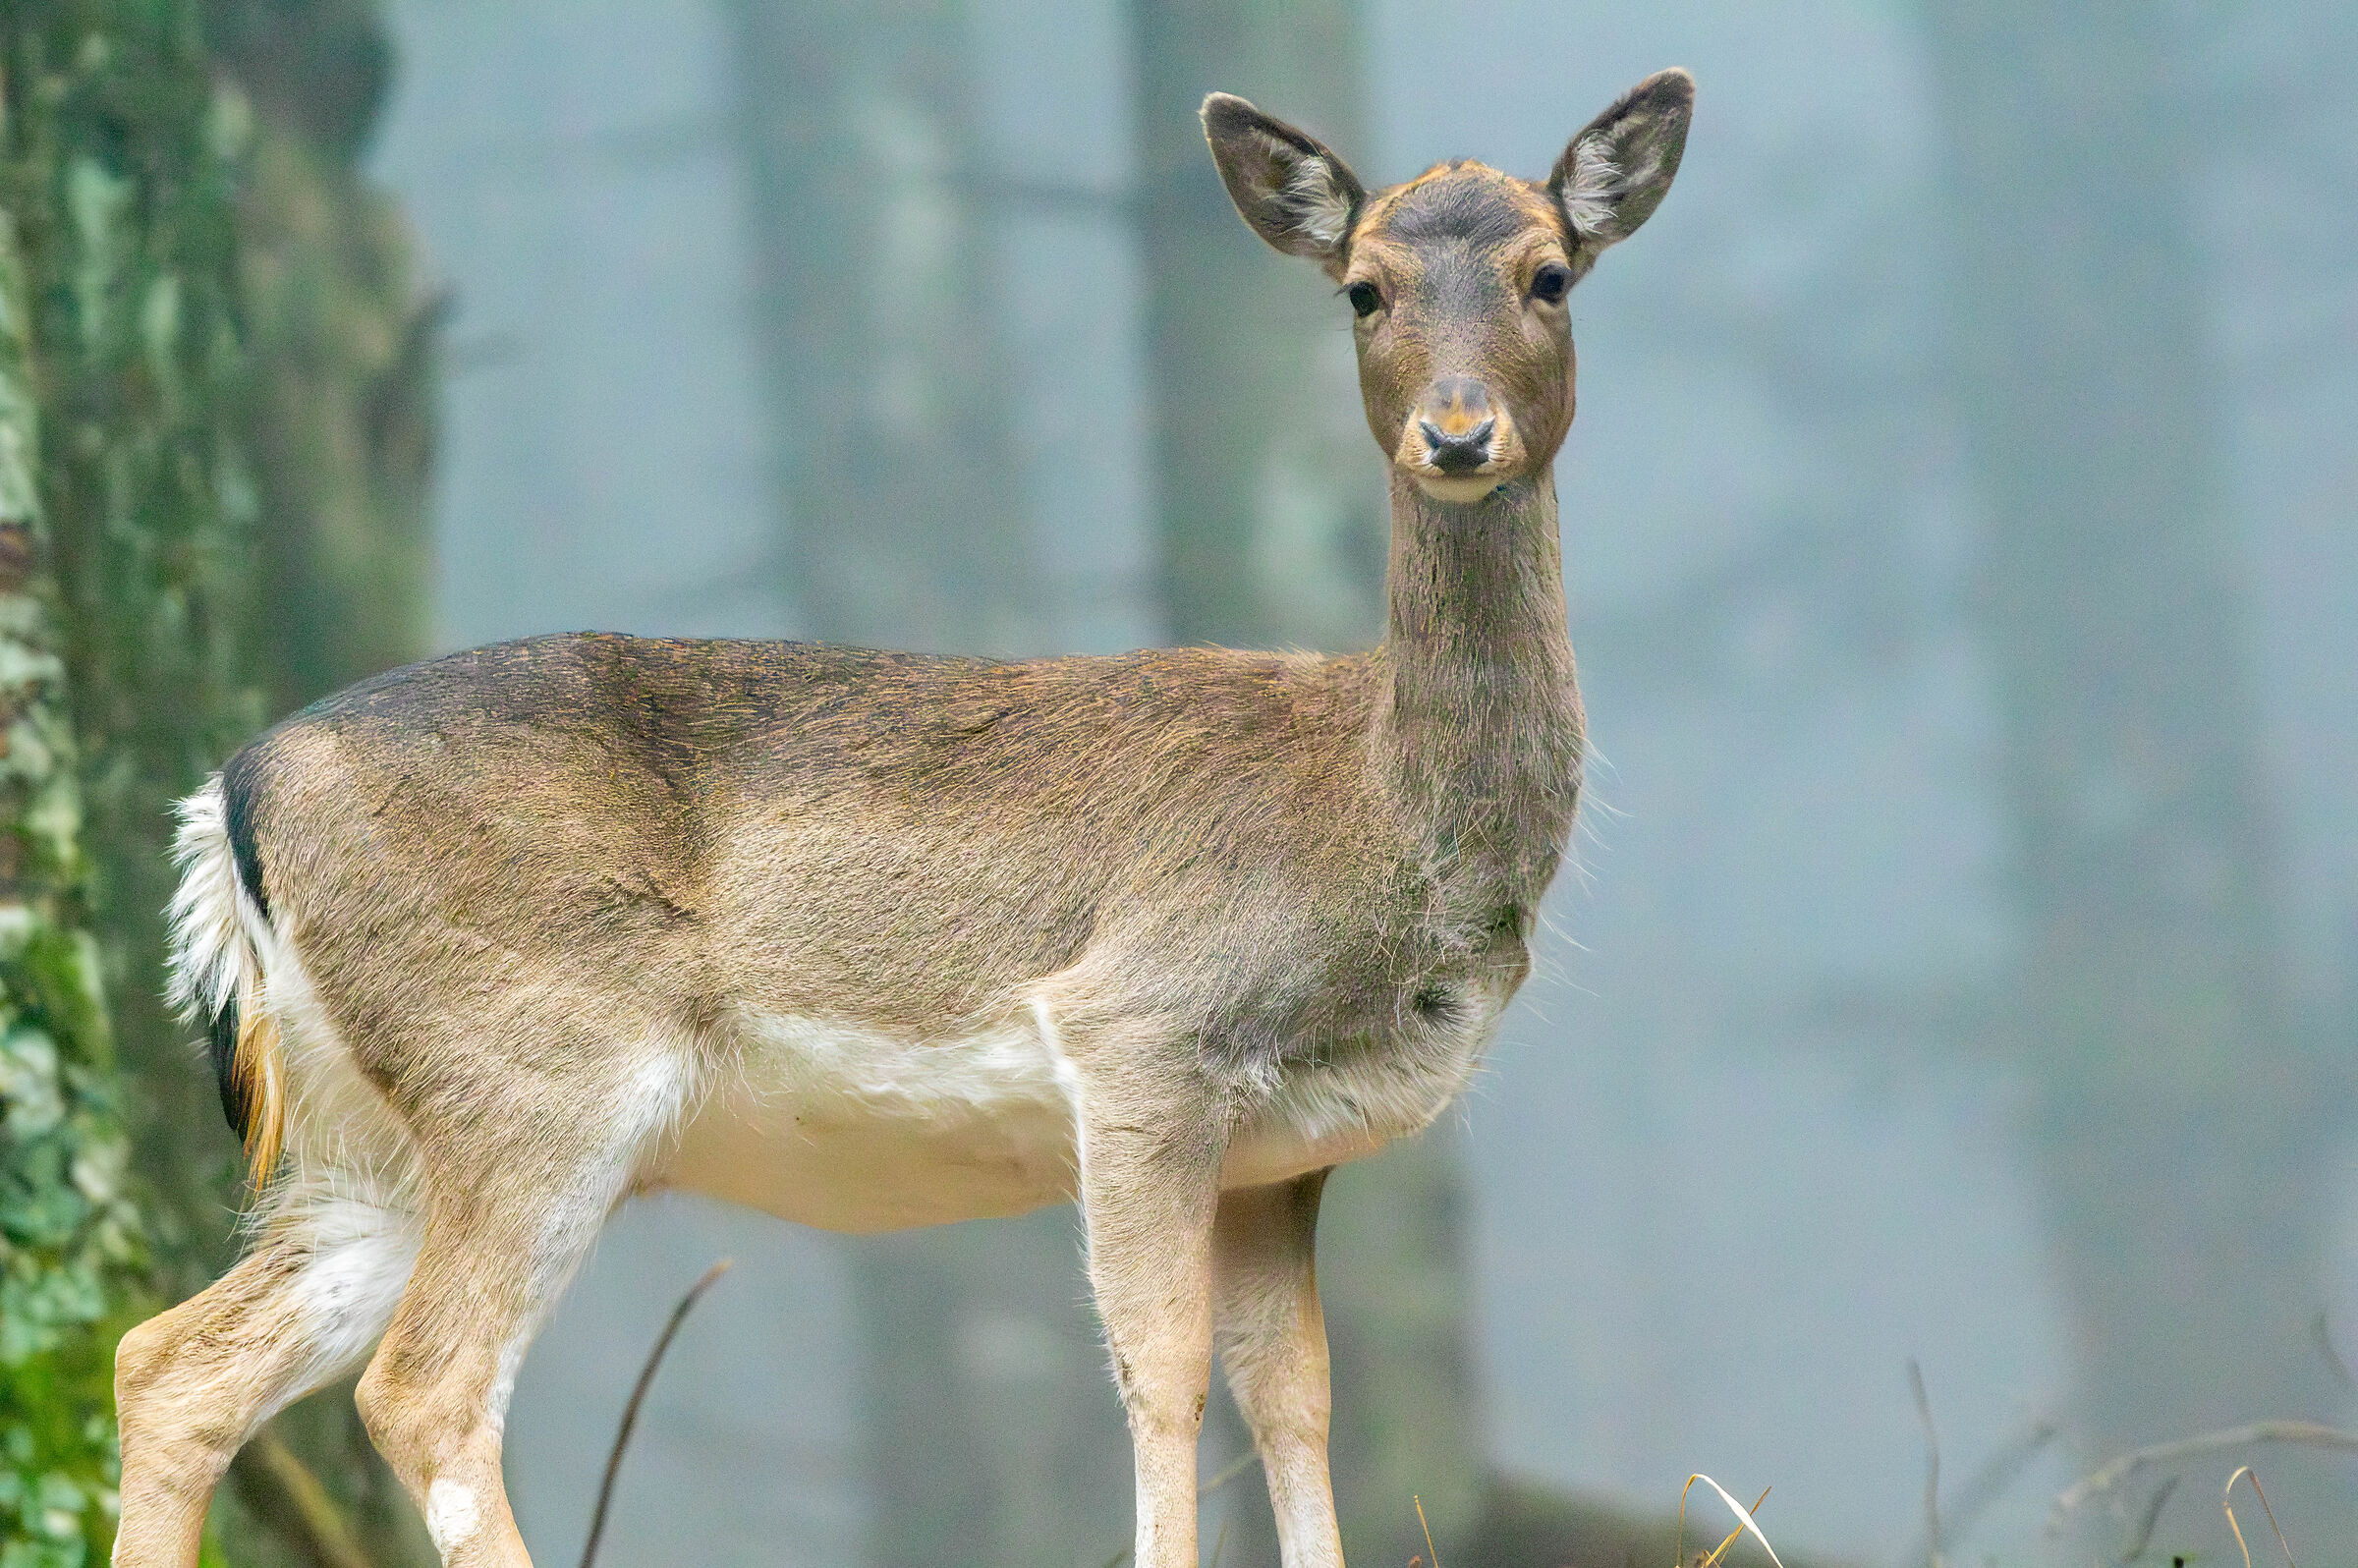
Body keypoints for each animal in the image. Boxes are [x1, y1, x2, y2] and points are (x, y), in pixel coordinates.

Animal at [109, 69, 1692, 1568]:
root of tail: (231, 793)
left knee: (170, 1362)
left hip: (365, 1138)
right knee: (422, 1389)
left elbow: (1293, 1394)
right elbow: (1163, 1368)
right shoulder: (1142, 1026)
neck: (1375, 829)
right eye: (1364, 287)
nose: (1457, 431)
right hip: (528, 1063)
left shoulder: (1289, 1152)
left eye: (1550, 274)